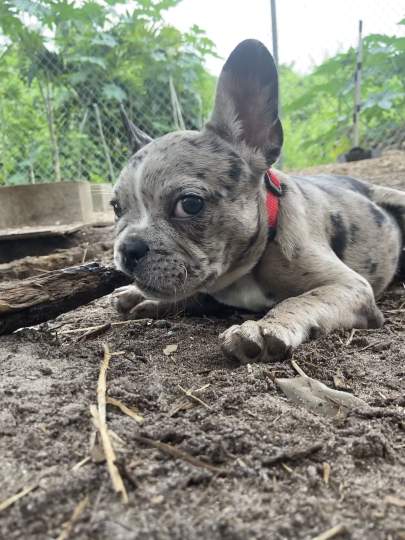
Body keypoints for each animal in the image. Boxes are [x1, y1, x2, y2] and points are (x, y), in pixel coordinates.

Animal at [110, 39, 404, 362]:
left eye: (190, 204)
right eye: (116, 208)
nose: (128, 248)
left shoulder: (349, 286)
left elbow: (300, 300)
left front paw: (264, 328)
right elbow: (191, 293)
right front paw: (142, 297)